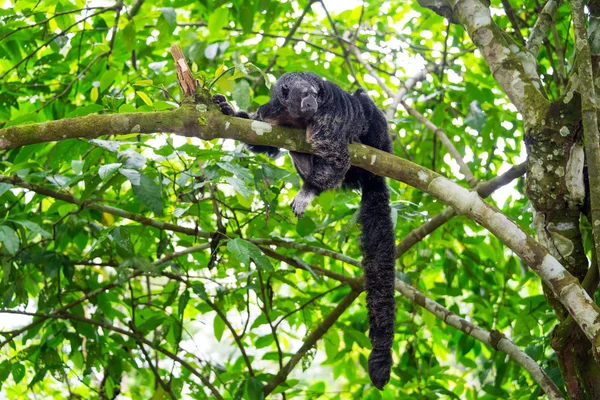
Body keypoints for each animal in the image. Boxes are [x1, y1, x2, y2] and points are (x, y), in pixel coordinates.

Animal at [213, 72, 396, 390]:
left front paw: (308, 191)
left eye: (314, 94)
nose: (311, 102)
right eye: (303, 95)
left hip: (379, 145)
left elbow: (335, 156)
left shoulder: (328, 117)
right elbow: (266, 143)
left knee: (362, 101)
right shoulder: (272, 112)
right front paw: (230, 111)